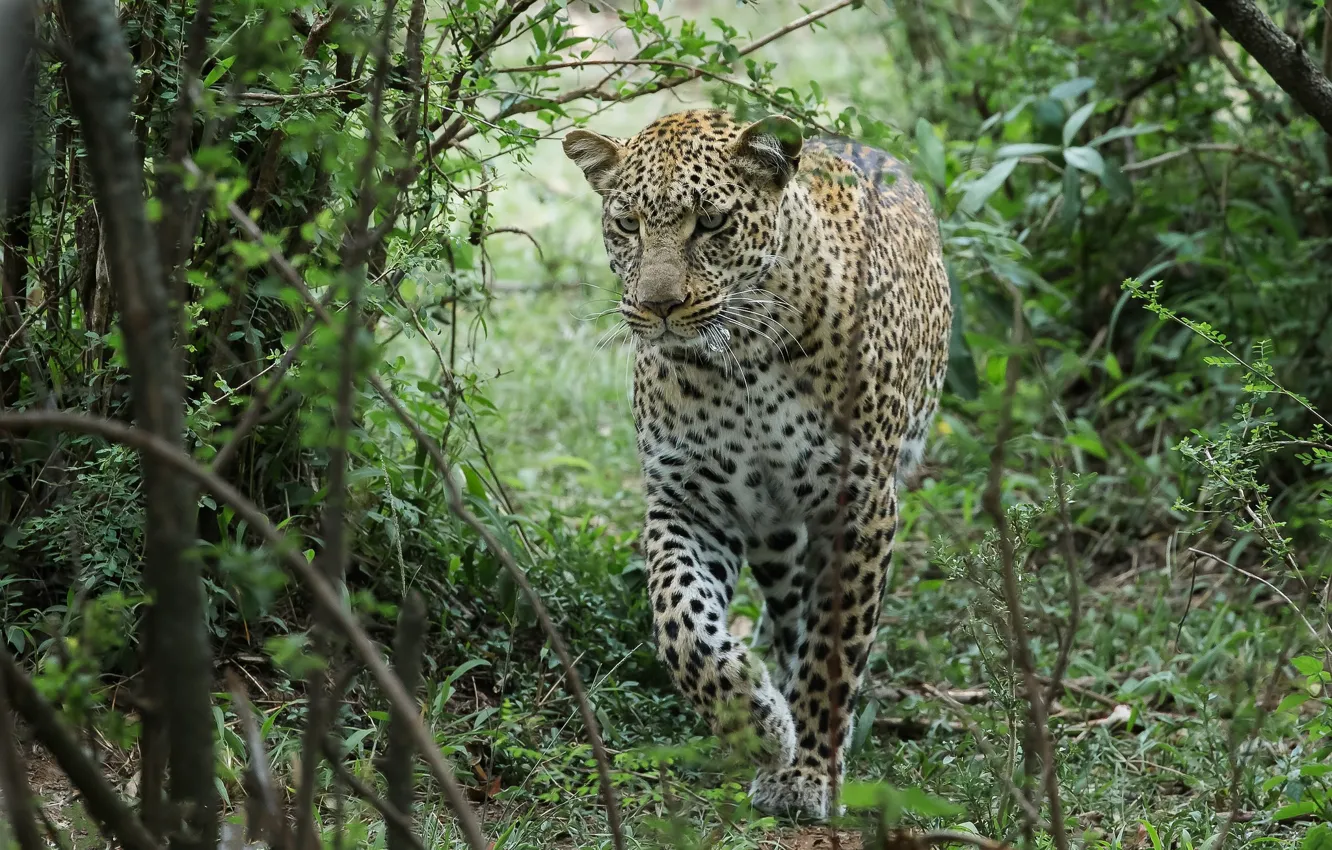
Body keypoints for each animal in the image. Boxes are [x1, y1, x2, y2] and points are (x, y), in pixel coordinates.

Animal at [561, 108, 953, 821]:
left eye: (712, 223)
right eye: (627, 224)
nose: (657, 306)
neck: (739, 360)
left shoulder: (859, 506)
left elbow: (834, 649)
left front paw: (805, 773)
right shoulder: (689, 502)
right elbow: (679, 621)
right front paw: (756, 721)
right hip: (775, 536)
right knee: (787, 614)